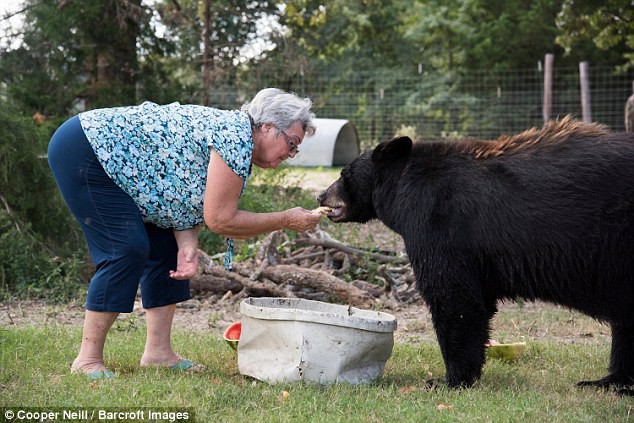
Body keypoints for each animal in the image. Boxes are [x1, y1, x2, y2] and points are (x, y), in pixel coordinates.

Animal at [318, 117, 632, 396]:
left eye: (344, 174)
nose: (321, 195)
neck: (406, 187)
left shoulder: (440, 223)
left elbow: (454, 297)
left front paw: (450, 380)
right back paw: (608, 381)